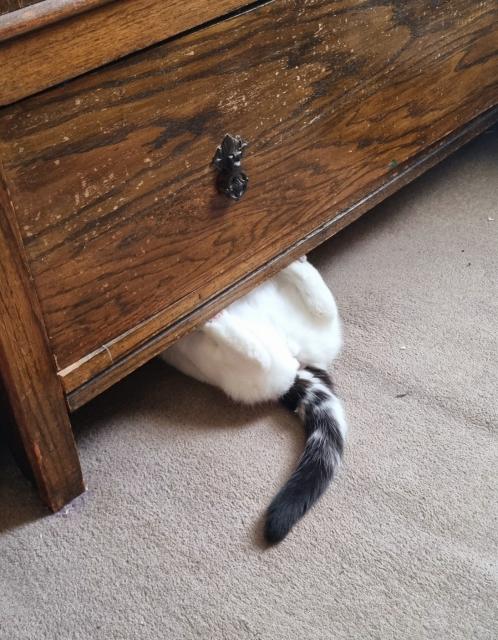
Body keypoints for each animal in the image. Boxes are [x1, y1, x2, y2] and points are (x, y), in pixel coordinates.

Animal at [161, 258, 348, 544]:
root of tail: (296, 359)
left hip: (234, 367)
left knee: (259, 355)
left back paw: (214, 320)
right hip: (304, 342)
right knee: (322, 309)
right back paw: (295, 265)